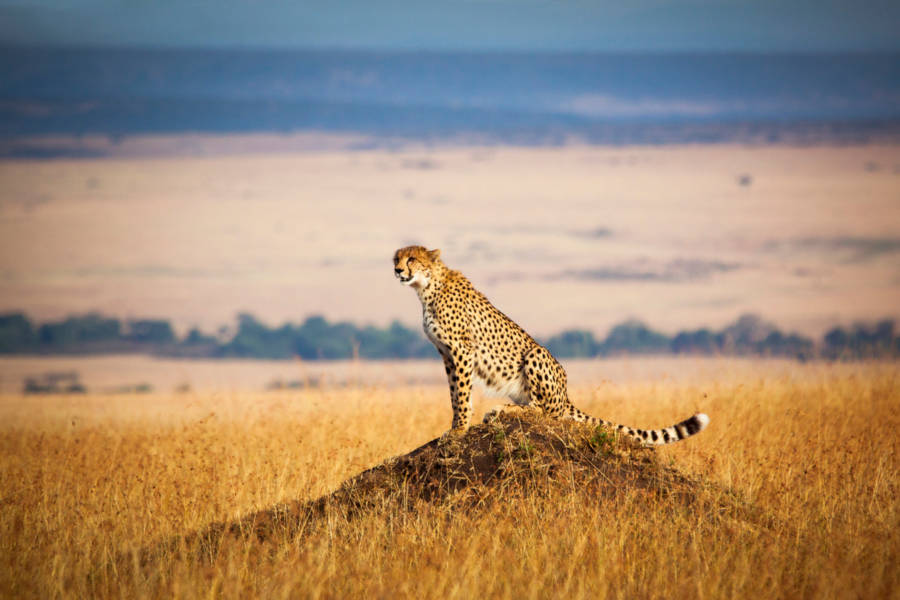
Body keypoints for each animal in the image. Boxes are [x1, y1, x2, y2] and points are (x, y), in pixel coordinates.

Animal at [393, 245, 709, 445]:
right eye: (396, 258)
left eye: (412, 259)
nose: (397, 270)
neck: (426, 287)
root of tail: (566, 394)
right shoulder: (446, 355)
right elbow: (455, 394)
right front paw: (456, 425)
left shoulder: (461, 351)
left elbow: (461, 394)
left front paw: (459, 430)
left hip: (536, 354)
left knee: (546, 411)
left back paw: (502, 410)